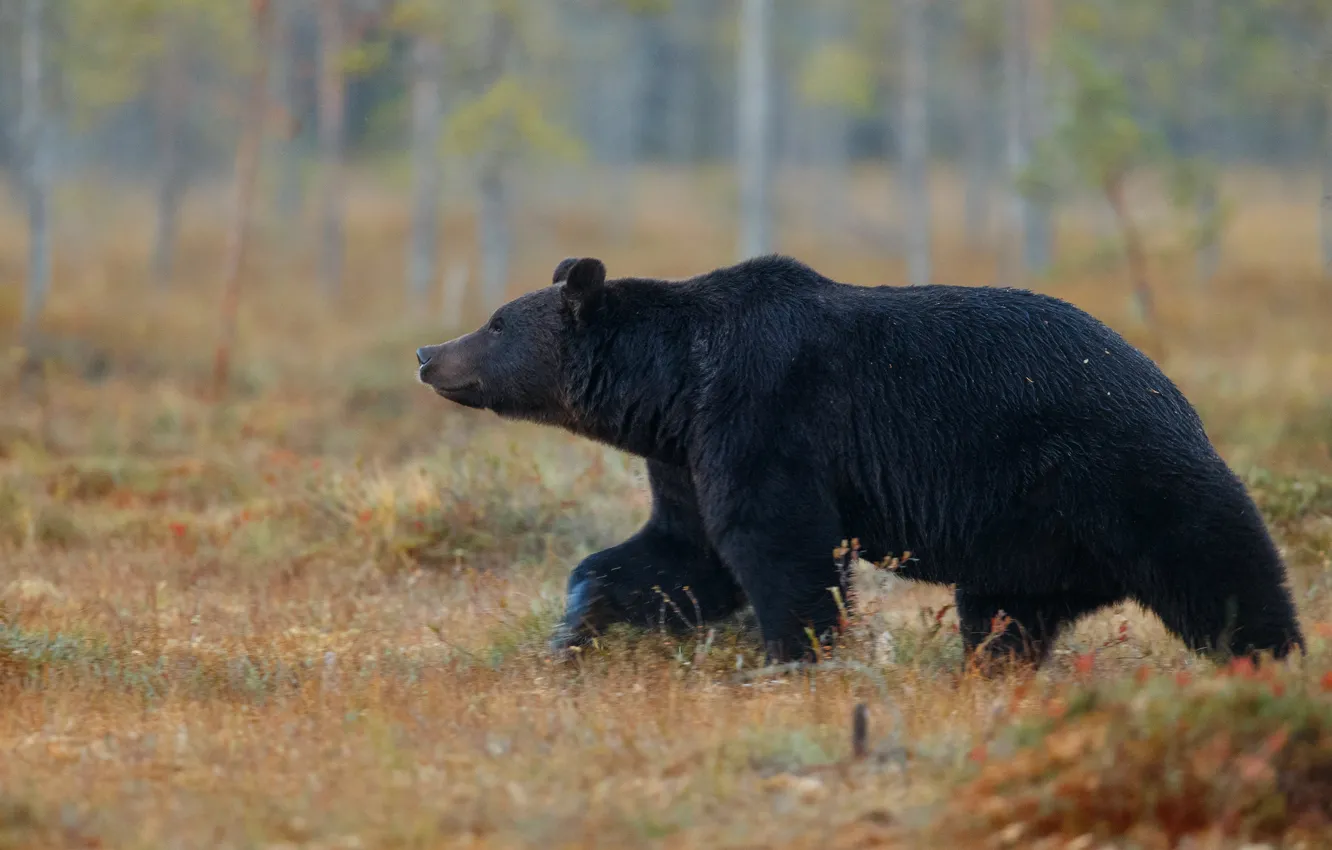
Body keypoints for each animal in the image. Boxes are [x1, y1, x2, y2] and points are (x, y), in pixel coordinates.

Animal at [415, 254, 1305, 667]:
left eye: (495, 321)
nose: (427, 351)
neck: (673, 385)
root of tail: (1173, 389)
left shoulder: (766, 411)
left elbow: (779, 547)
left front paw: (792, 659)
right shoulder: (687, 452)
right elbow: (680, 555)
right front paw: (574, 628)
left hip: (1115, 470)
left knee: (1222, 566)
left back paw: (1273, 660)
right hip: (1025, 542)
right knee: (1004, 618)